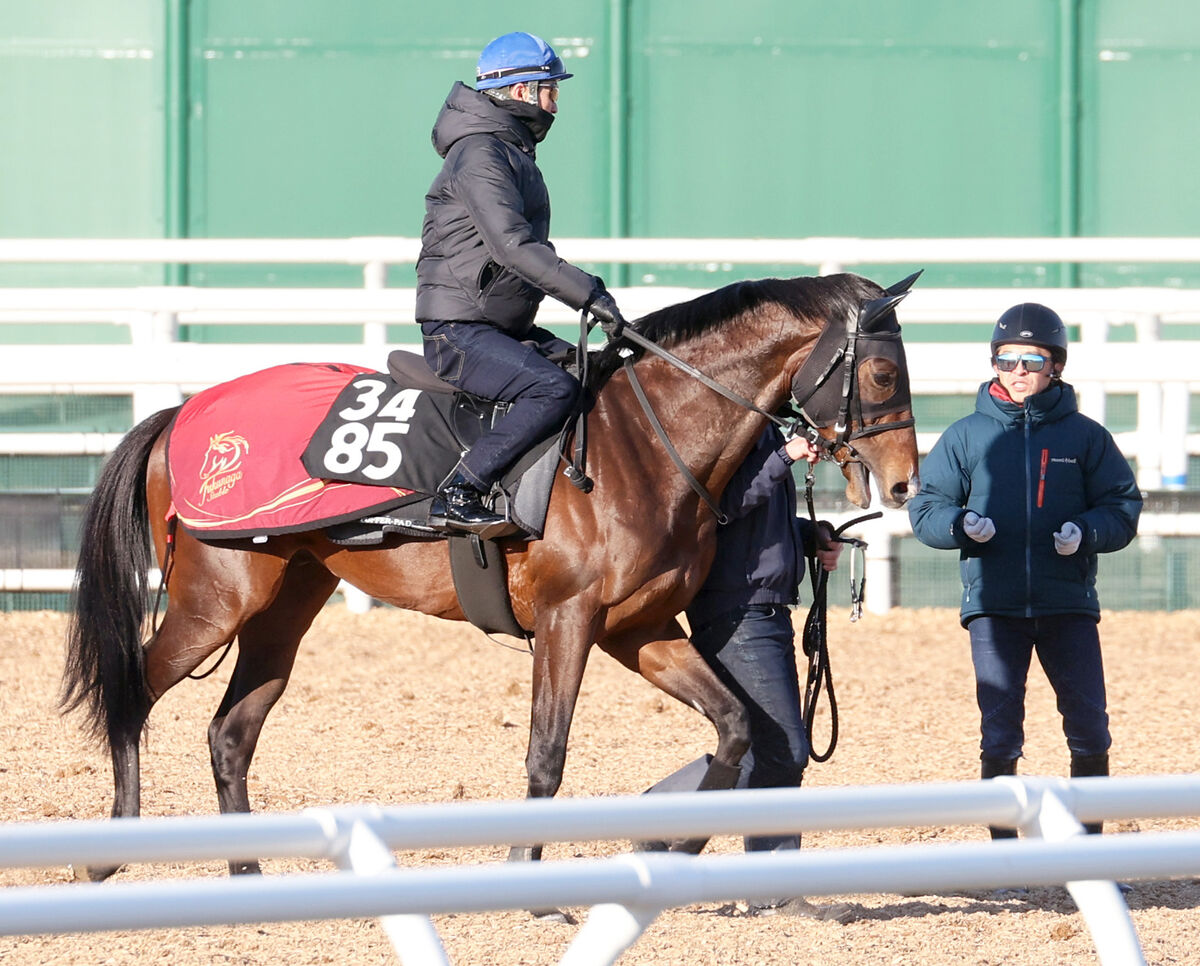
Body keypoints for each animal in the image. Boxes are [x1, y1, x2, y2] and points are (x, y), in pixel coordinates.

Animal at [60, 270, 916, 873]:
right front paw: (526, 878)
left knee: (231, 732)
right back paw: (111, 857)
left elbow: (735, 725)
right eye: (881, 375)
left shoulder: (637, 626)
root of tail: (181, 412)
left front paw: (680, 849)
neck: (643, 439)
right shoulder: (570, 620)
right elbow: (547, 753)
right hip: (215, 600)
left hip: (286, 601)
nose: (905, 481)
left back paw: (246, 874)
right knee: (132, 692)